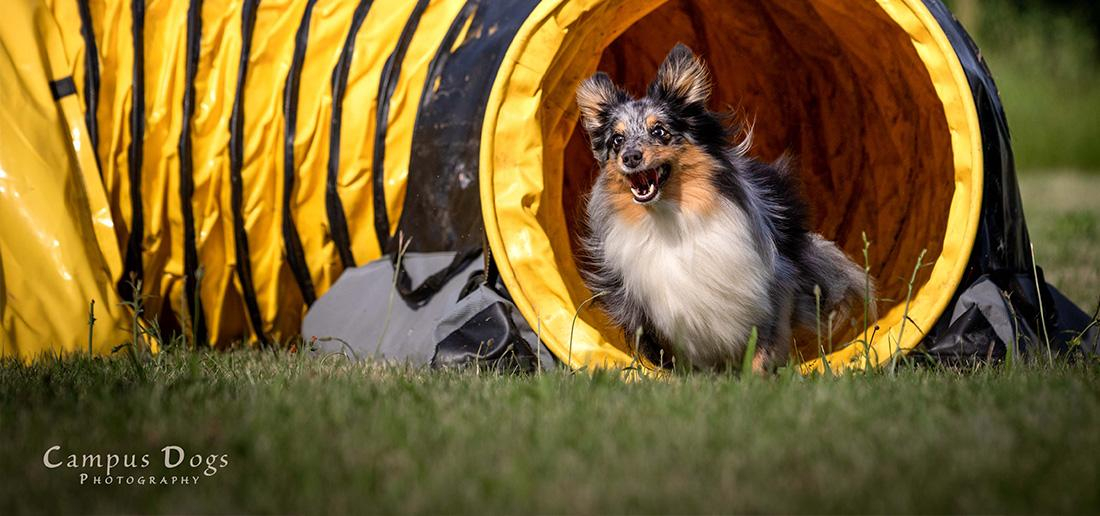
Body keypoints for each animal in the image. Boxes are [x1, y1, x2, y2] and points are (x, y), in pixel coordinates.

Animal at [576, 44, 875, 371]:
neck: (670, 216)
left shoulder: (769, 288)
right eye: (617, 140)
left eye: (660, 132)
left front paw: (755, 378)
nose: (630, 157)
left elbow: (763, 347)